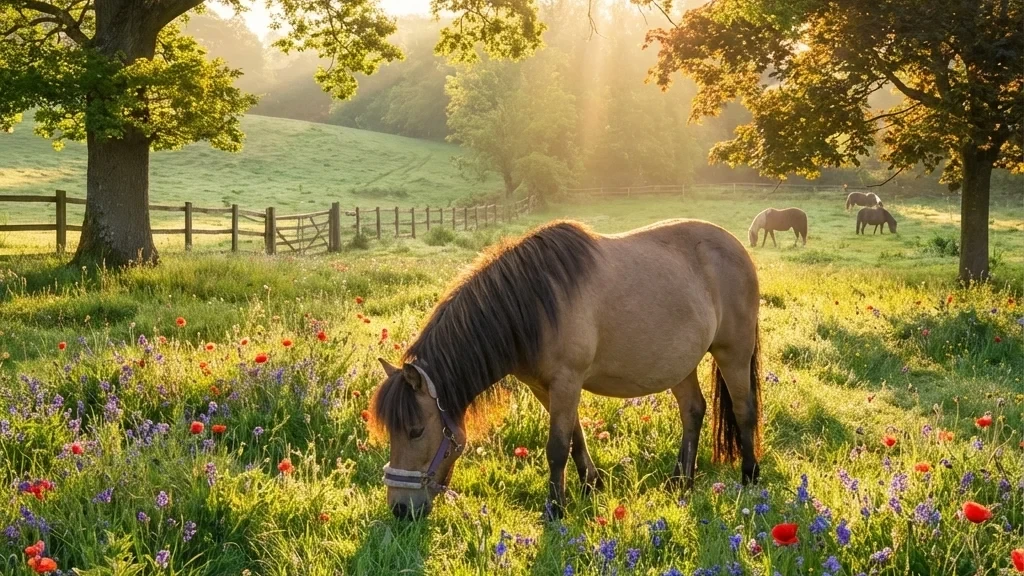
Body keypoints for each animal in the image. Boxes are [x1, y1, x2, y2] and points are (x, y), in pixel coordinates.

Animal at [372, 220, 763, 520]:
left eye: (416, 431)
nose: (400, 510)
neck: (535, 303)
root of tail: (736, 246)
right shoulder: (546, 388)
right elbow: (576, 437)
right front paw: (592, 486)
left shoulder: (567, 382)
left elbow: (557, 447)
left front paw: (555, 509)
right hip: (681, 364)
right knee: (693, 411)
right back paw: (682, 481)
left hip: (734, 353)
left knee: (744, 411)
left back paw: (750, 477)